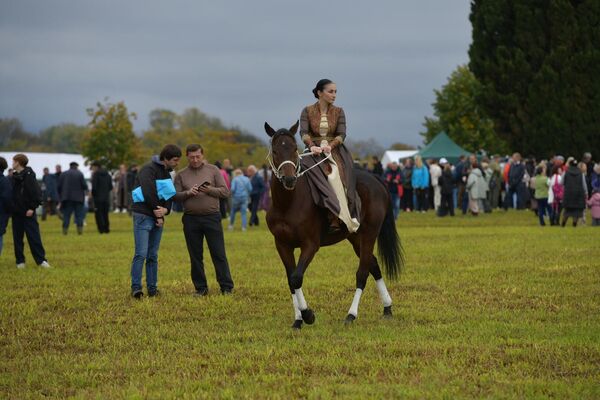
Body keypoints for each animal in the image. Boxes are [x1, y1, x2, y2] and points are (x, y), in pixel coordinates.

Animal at [264, 121, 400, 328]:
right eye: (275, 150)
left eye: (294, 149)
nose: (289, 179)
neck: (288, 203)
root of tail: (375, 179)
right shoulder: (282, 245)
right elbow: (290, 280)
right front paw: (298, 320)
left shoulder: (310, 245)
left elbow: (296, 278)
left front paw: (308, 315)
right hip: (355, 238)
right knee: (373, 265)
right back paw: (387, 308)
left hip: (369, 234)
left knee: (362, 273)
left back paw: (351, 315)